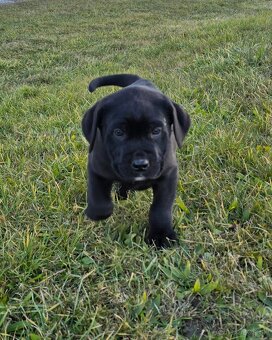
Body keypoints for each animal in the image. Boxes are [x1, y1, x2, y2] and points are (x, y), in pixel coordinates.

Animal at [82, 74, 190, 247]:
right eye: (118, 132)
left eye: (156, 131)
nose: (140, 164)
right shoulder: (96, 168)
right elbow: (100, 203)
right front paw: (94, 213)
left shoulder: (168, 174)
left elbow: (160, 209)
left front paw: (161, 236)